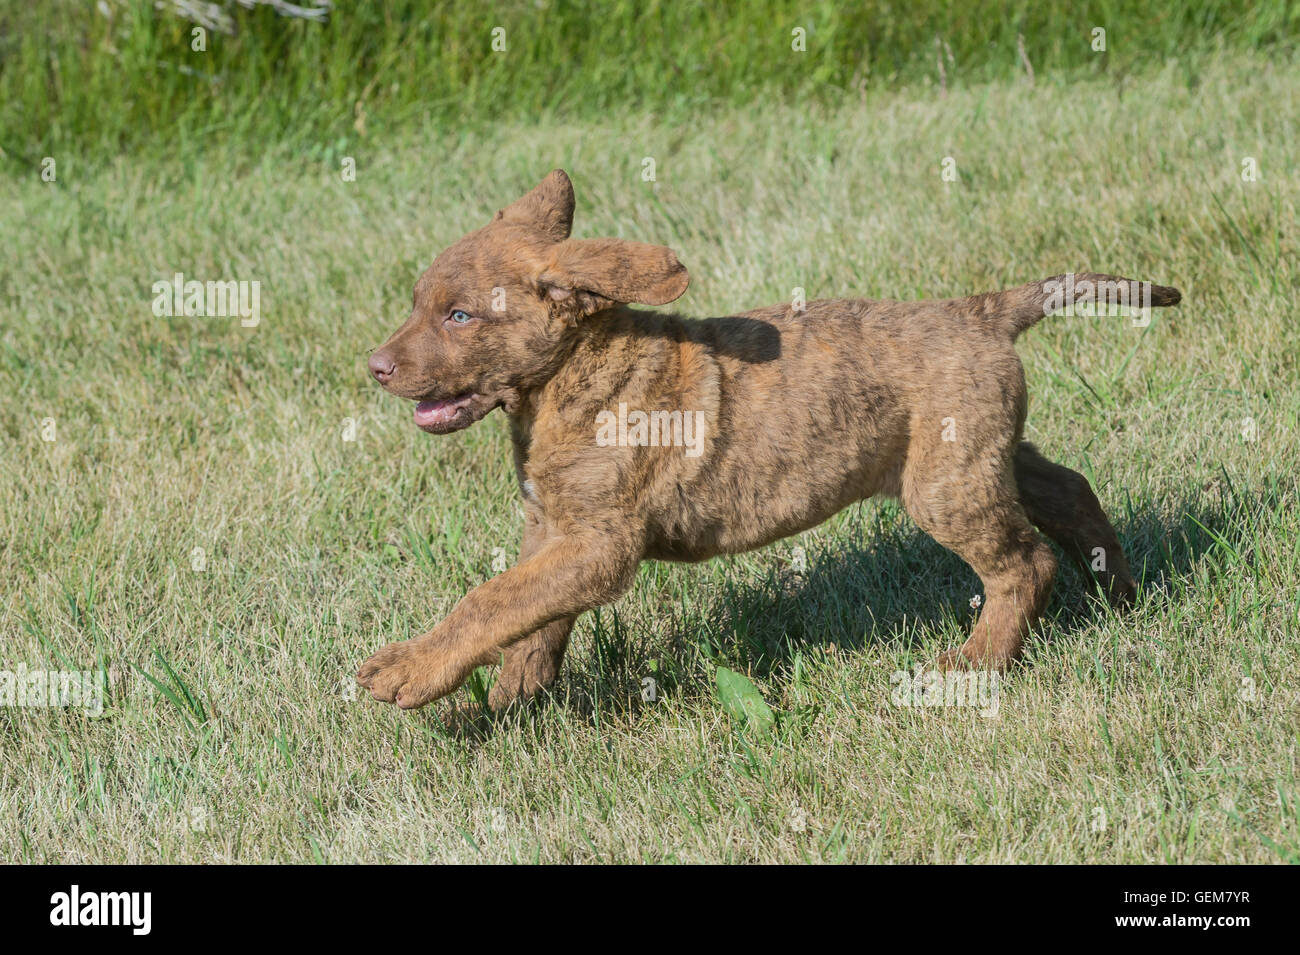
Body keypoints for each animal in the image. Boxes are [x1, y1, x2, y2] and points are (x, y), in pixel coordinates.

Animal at [358, 170, 1180, 712]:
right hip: (978, 455)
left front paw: (410, 670)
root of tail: (978, 310)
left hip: (946, 486)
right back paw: (1121, 593)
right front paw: (517, 697)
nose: (376, 367)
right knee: (1067, 489)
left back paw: (972, 666)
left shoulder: (598, 544)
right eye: (419, 305)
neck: (569, 381)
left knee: (1023, 561)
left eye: (459, 316)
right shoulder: (554, 532)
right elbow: (527, 613)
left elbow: (491, 600)